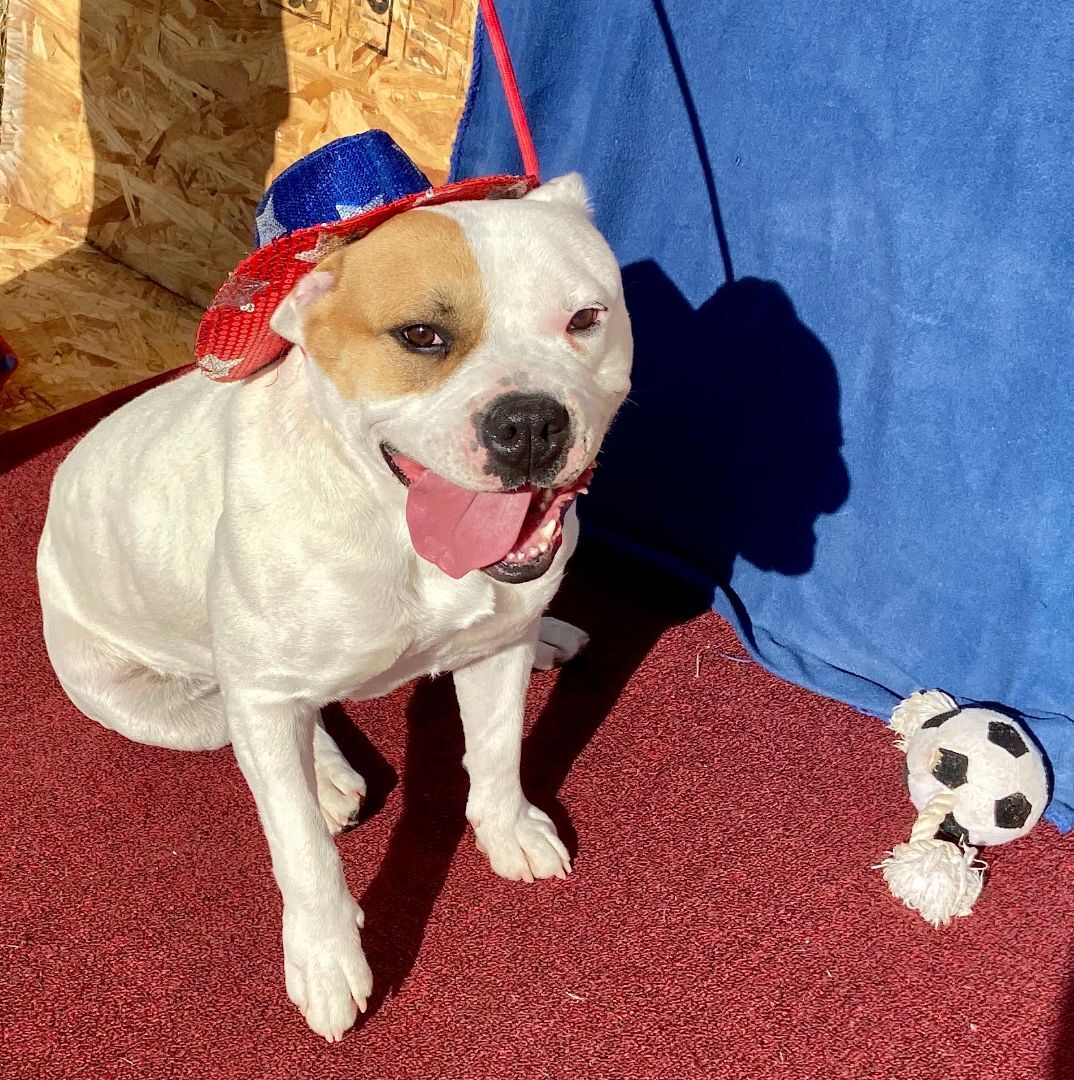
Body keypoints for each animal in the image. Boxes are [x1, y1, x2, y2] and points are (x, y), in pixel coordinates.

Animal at [37, 174, 631, 1036]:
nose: (529, 422)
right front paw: (325, 959)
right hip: (153, 701)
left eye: (585, 318)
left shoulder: (494, 650)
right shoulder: (263, 693)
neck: (394, 516)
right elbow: (299, 849)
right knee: (251, 726)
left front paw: (510, 830)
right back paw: (323, 777)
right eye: (420, 336)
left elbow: (494, 752)